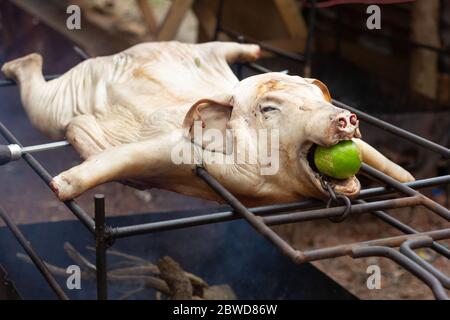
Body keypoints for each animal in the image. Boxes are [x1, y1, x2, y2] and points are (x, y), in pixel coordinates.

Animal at [0, 41, 414, 205]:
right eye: (269, 109)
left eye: (320, 97)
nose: (344, 117)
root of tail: (115, 53)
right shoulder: (175, 148)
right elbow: (125, 156)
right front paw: (59, 187)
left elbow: (371, 152)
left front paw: (409, 180)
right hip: (62, 97)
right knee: (41, 101)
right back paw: (16, 65)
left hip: (201, 51)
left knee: (222, 47)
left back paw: (254, 50)